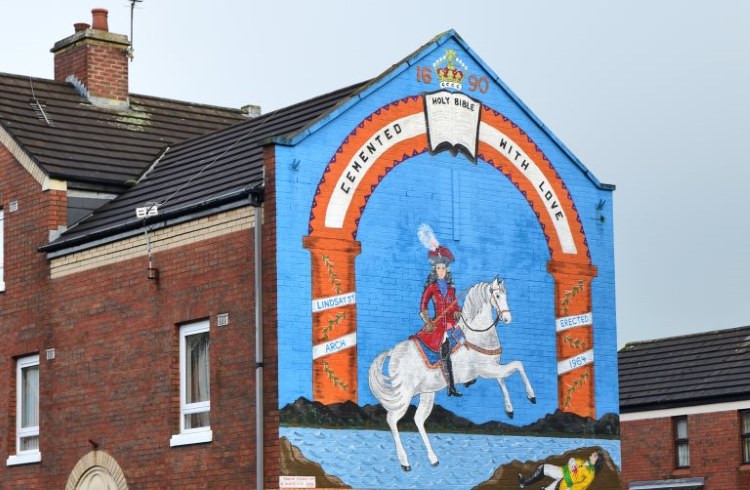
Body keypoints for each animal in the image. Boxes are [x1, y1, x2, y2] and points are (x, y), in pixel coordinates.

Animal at [368, 276, 536, 470]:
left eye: (506, 294)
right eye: (498, 295)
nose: (507, 318)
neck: (476, 334)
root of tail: (392, 352)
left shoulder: (492, 367)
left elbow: (504, 378)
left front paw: (509, 410)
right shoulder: (486, 369)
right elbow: (518, 366)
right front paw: (531, 396)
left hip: (427, 392)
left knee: (418, 419)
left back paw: (433, 458)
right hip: (405, 394)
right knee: (392, 419)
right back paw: (405, 462)